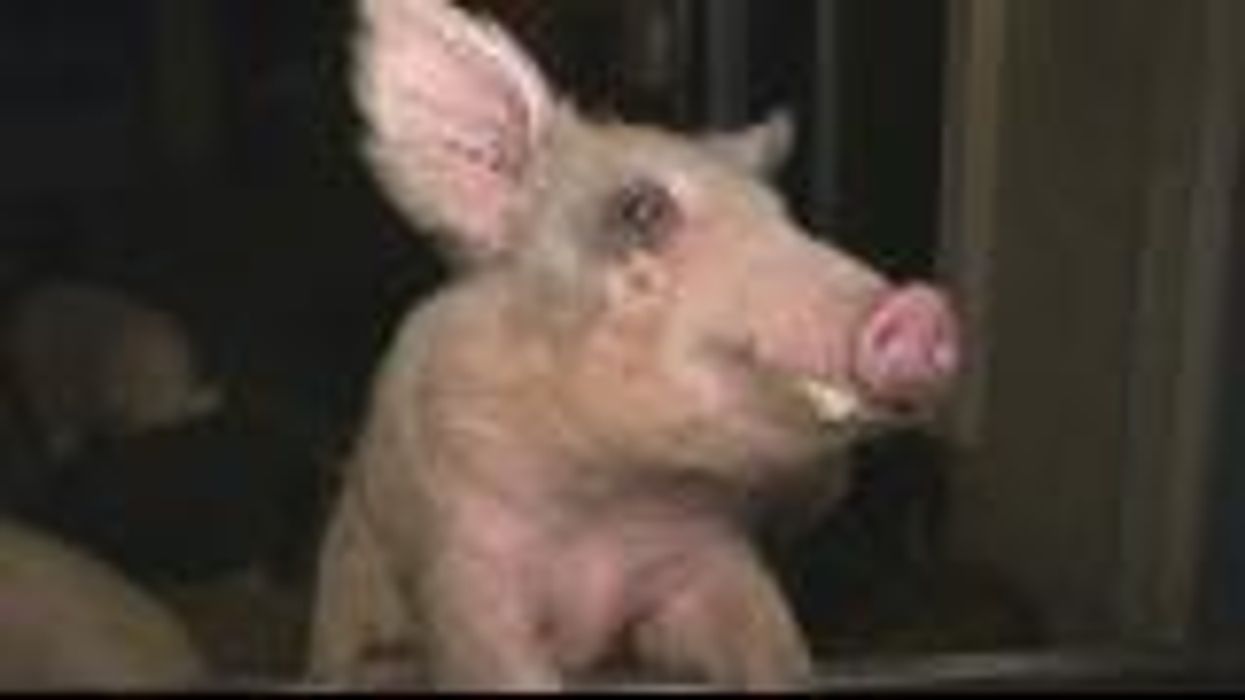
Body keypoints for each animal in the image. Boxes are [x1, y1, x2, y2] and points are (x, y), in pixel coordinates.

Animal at [308, 0, 960, 691]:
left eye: (779, 212)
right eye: (642, 210)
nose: (924, 308)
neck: (605, 504)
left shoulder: (703, 561)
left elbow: (772, 644)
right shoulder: (460, 574)